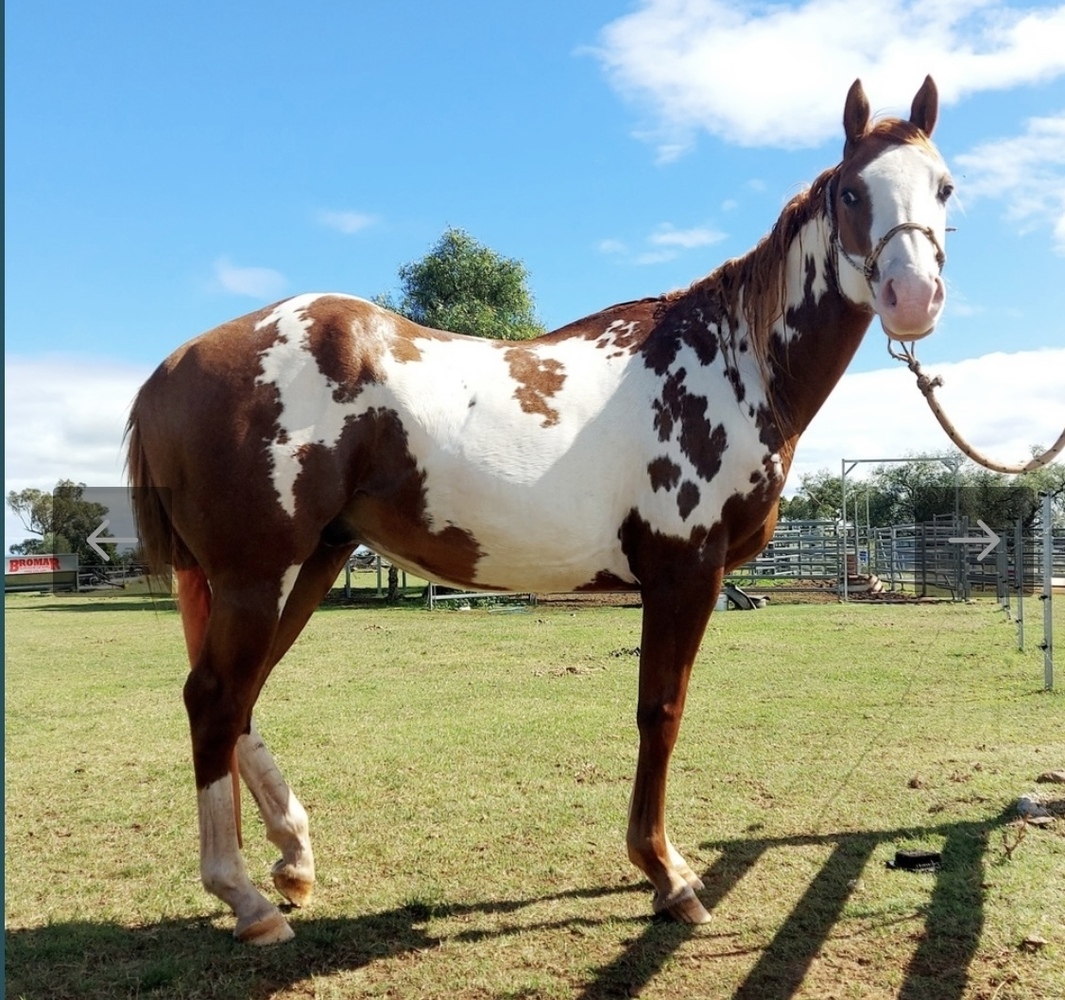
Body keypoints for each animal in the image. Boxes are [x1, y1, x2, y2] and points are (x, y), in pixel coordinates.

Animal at [127, 77, 952, 944]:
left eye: (943, 187)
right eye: (851, 191)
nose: (911, 297)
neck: (731, 365)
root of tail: (172, 367)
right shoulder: (683, 573)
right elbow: (660, 712)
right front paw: (667, 875)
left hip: (306, 565)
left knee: (238, 700)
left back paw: (292, 860)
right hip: (259, 574)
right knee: (215, 700)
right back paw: (246, 898)